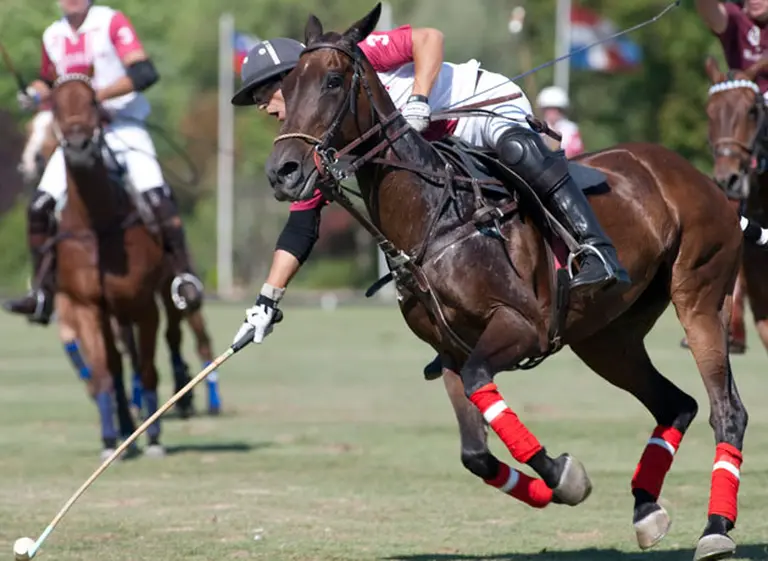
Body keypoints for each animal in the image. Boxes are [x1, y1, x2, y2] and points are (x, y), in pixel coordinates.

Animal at [20, 103, 223, 417]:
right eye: (30, 128)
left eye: (50, 127)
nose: (32, 162)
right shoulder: (72, 298)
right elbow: (81, 344)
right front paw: (108, 396)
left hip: (171, 284)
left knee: (187, 333)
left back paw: (200, 397)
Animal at [49, 67, 170, 459]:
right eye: (54, 104)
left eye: (91, 101)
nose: (78, 147)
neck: (99, 222)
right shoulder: (87, 306)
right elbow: (103, 372)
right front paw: (108, 440)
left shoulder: (145, 305)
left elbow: (146, 369)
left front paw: (155, 437)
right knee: (115, 367)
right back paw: (125, 431)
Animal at [265, 5, 749, 560]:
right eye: (287, 88)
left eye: (332, 80)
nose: (283, 171)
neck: (434, 217)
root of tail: (705, 180)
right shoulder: (451, 351)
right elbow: (475, 450)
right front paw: (553, 485)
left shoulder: (519, 327)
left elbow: (484, 384)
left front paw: (564, 474)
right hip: (608, 338)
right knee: (677, 403)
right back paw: (647, 509)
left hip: (700, 296)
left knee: (726, 410)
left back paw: (716, 528)